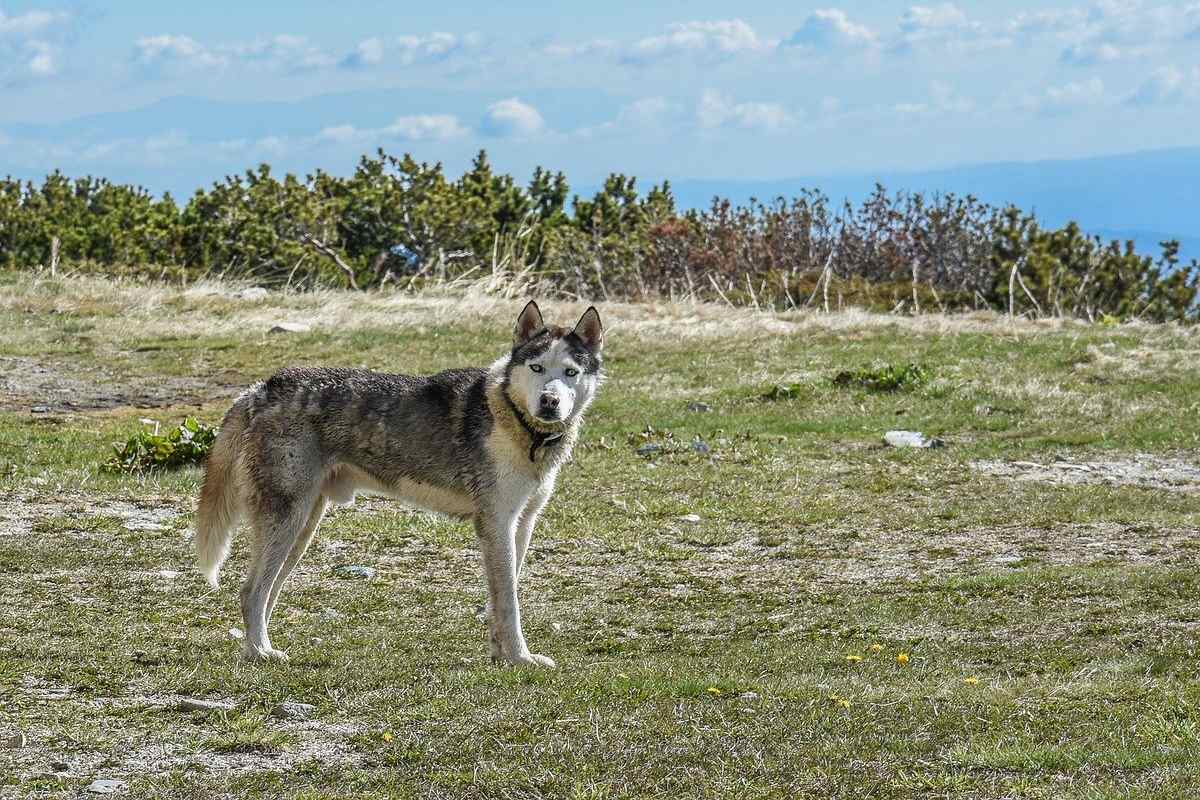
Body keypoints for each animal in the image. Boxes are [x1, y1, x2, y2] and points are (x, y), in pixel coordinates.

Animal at [199, 302, 609, 671]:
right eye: (537, 368)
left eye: (570, 372)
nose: (550, 402)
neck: (518, 424)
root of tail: (259, 389)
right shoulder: (497, 525)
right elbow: (510, 603)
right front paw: (521, 659)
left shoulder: (520, 525)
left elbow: (499, 600)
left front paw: (501, 657)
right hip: (288, 522)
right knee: (250, 592)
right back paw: (260, 653)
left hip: (301, 530)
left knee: (266, 594)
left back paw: (262, 648)